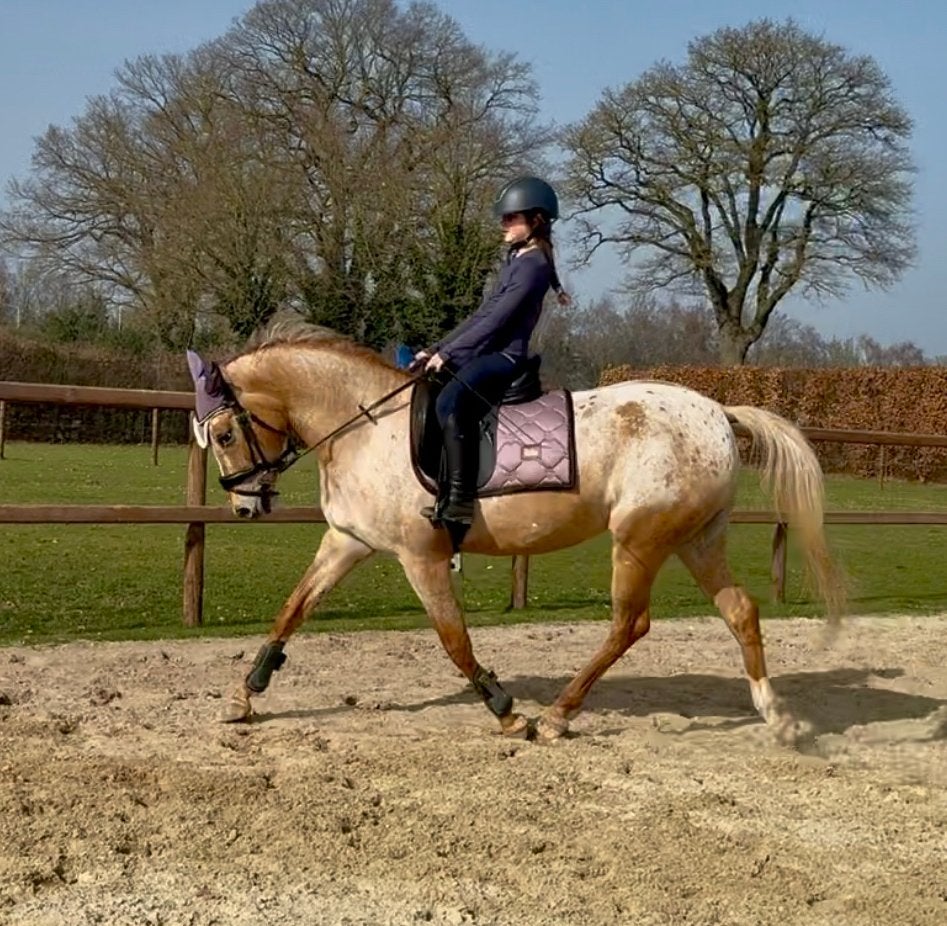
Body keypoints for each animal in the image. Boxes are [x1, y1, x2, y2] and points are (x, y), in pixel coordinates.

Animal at [187, 318, 844, 743]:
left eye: (223, 433)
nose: (244, 506)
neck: (365, 426)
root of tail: (718, 413)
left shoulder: (421, 558)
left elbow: (454, 641)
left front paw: (505, 710)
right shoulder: (347, 542)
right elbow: (292, 610)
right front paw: (244, 695)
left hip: (641, 541)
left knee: (630, 623)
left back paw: (555, 716)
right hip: (695, 540)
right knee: (740, 611)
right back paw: (775, 716)